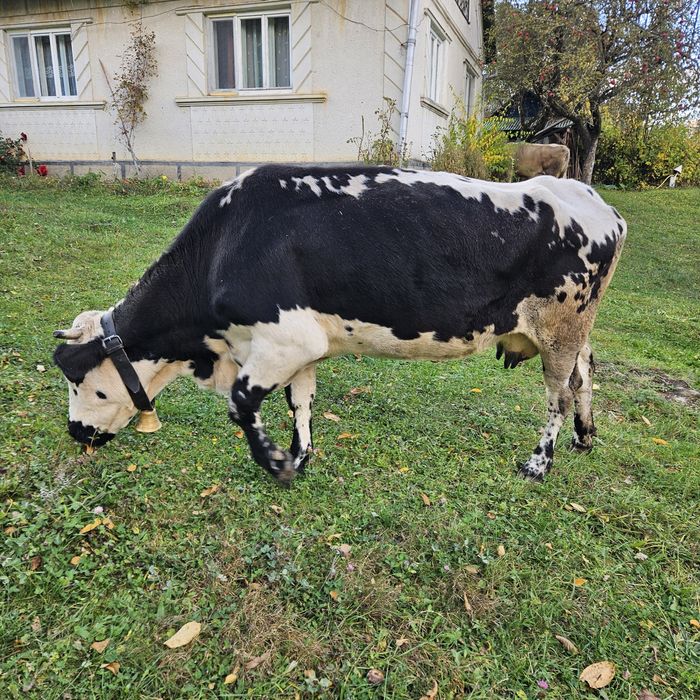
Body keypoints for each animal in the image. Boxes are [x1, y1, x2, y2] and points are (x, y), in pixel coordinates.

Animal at [53, 165, 626, 483]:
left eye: (83, 384)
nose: (75, 431)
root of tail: (594, 199)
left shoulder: (282, 341)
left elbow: (241, 406)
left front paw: (276, 464)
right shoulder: (303, 347)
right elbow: (300, 402)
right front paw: (300, 456)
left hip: (559, 332)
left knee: (559, 396)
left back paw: (540, 463)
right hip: (574, 332)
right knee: (585, 376)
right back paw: (584, 437)